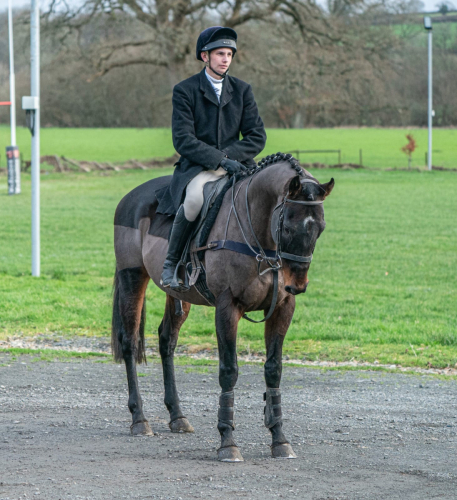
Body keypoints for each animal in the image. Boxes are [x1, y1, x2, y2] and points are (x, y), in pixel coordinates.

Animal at [111, 153, 334, 462]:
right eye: (287, 226)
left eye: (320, 229)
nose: (297, 285)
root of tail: (130, 197)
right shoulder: (227, 308)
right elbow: (229, 370)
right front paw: (228, 441)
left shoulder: (282, 308)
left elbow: (273, 369)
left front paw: (279, 438)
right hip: (132, 277)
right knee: (130, 342)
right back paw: (139, 418)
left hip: (177, 295)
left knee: (167, 341)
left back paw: (177, 416)